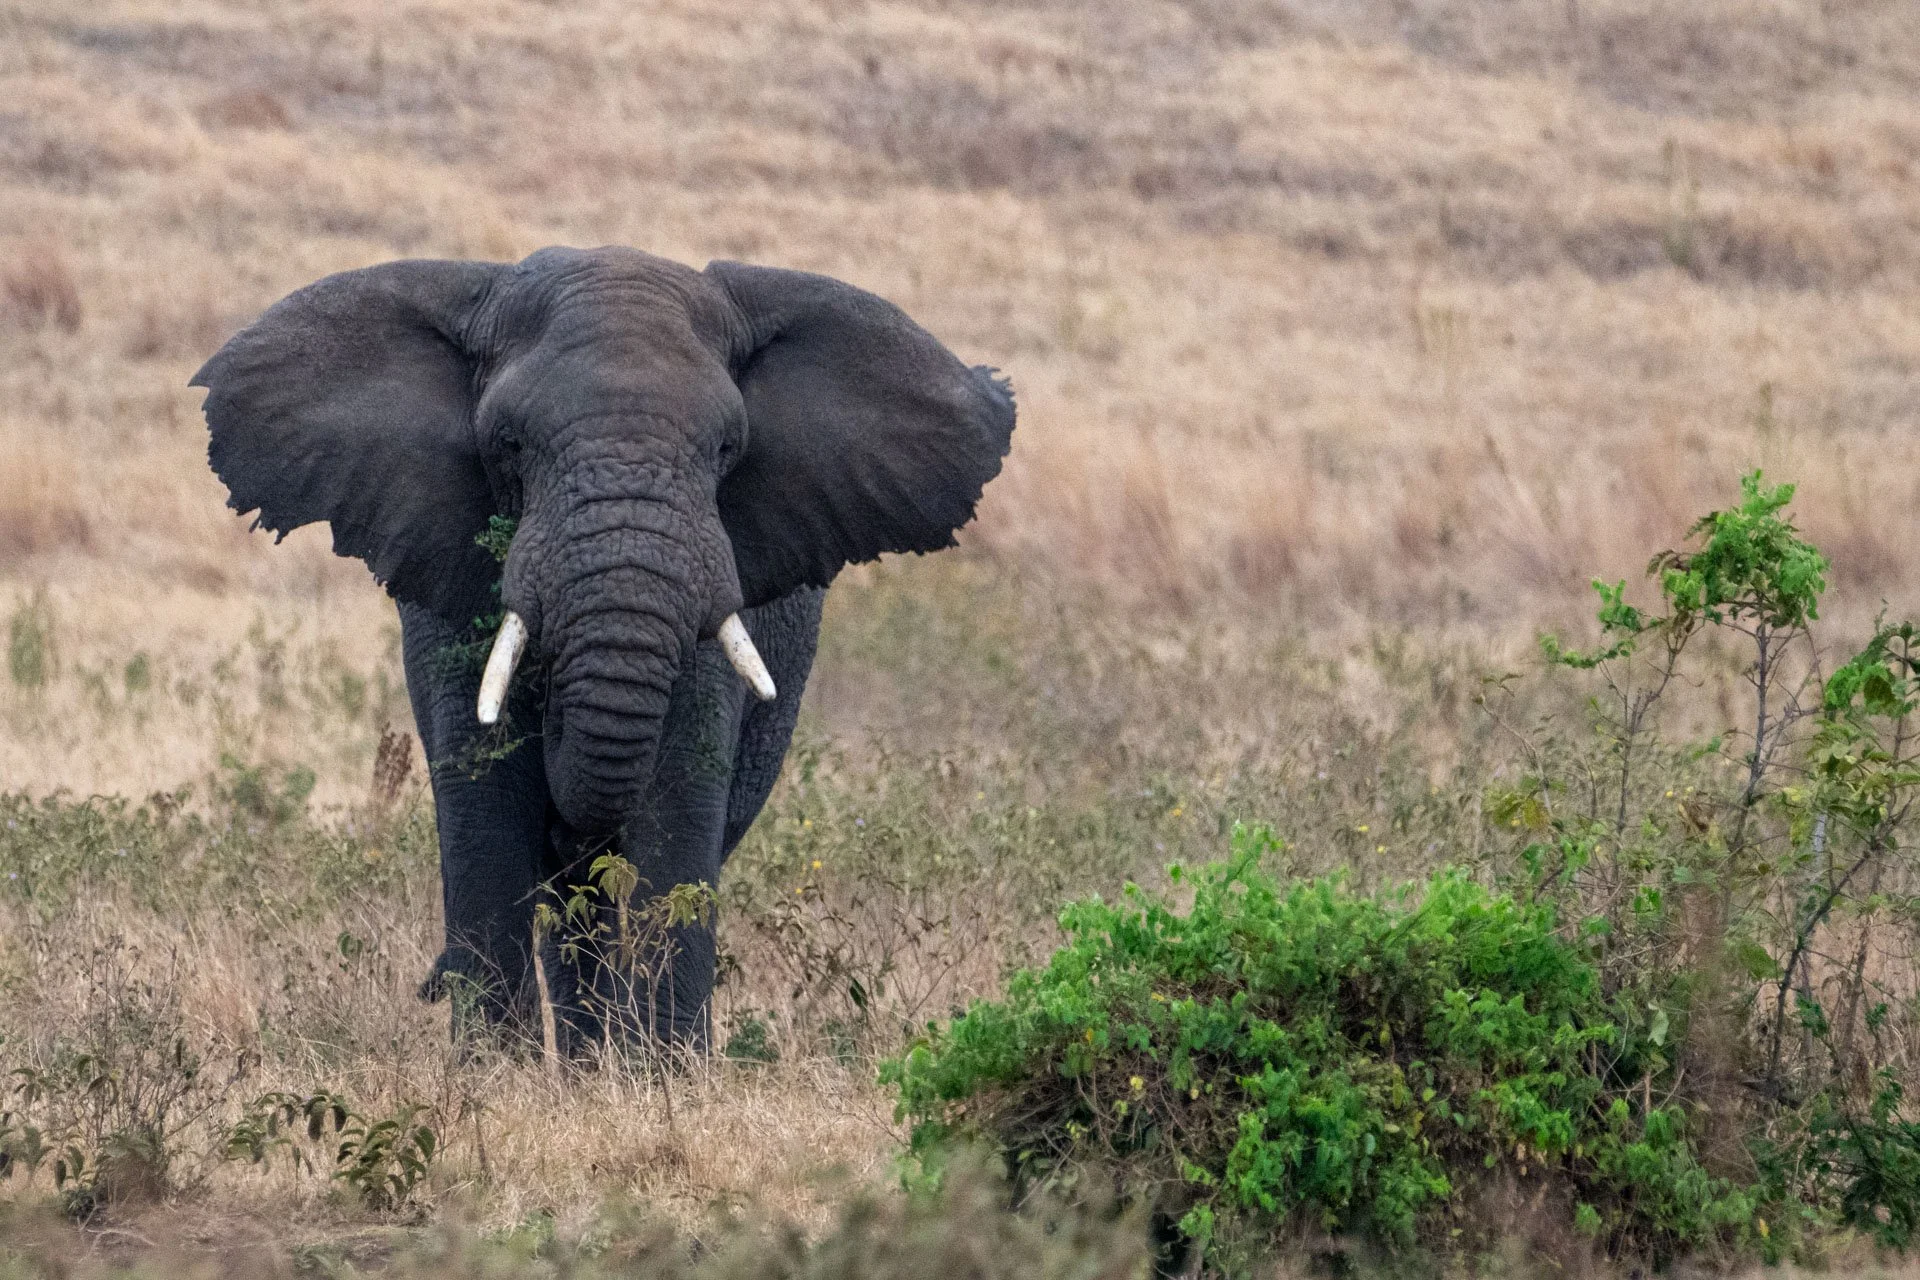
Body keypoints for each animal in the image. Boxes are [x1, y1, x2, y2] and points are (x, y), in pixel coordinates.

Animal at [192, 246, 1015, 1051]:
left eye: (728, 448)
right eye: (508, 444)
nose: (427, 985)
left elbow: (676, 798)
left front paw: (666, 1075)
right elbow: (488, 802)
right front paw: (498, 1078)